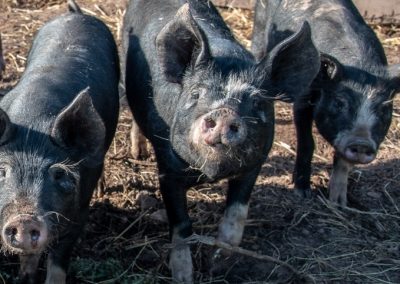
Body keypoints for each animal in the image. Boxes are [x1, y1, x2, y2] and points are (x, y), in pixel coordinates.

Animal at [0, 1, 120, 282]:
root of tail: (75, 14)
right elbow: (28, 257)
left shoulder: (79, 211)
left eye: (58, 173)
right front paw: (25, 278)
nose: (25, 220)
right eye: (2, 171)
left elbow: (57, 262)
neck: (33, 122)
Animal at [123, 0, 320, 282]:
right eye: (196, 93)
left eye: (258, 102)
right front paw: (184, 277)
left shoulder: (254, 164)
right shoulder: (168, 170)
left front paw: (217, 263)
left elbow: (236, 217)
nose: (225, 112)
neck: (211, 172)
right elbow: (182, 227)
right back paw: (138, 154)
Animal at [253, 0, 400, 205]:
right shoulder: (303, 98)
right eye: (339, 102)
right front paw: (302, 192)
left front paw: (339, 202)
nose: (362, 142)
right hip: (259, 31)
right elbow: (307, 142)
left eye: (384, 109)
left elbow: (341, 161)